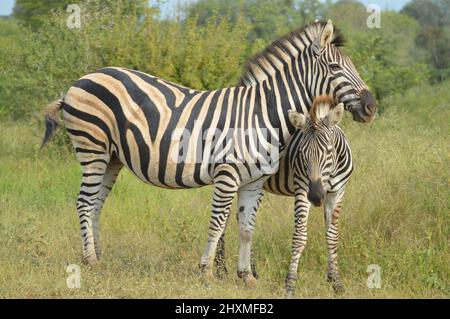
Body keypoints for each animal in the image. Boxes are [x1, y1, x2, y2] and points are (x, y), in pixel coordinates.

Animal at [286, 96, 354, 296]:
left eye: (329, 151)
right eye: (301, 153)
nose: (316, 197)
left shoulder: (337, 193)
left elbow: (332, 236)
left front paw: (336, 282)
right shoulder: (302, 189)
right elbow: (299, 237)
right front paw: (290, 285)